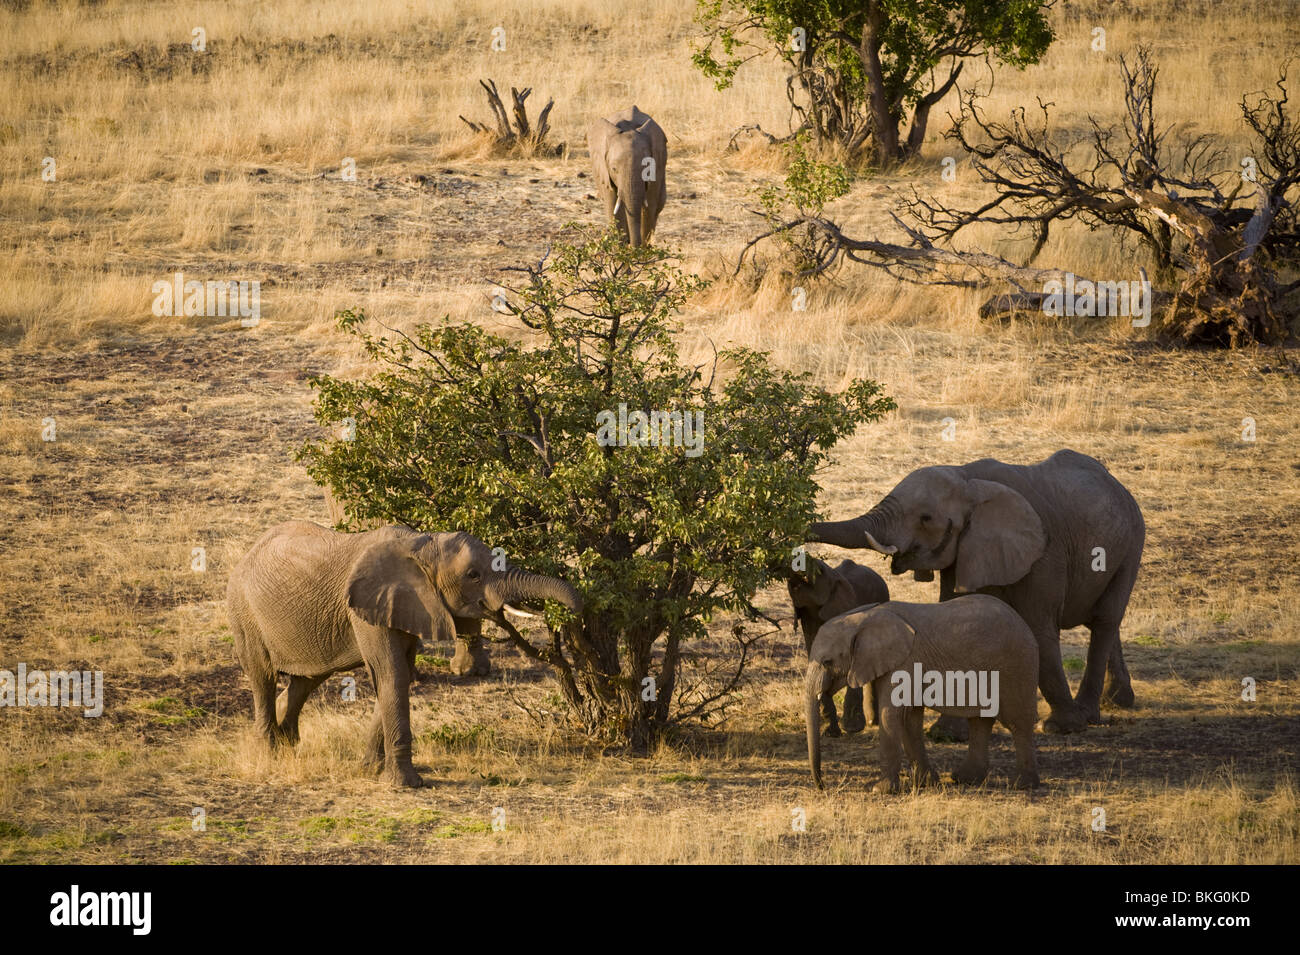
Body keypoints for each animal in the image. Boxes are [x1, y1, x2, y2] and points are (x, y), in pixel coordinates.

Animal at [228, 522, 585, 784]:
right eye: (473, 575)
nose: (576, 613)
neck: (423, 544)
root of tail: (246, 554)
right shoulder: (367, 608)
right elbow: (393, 674)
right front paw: (406, 784)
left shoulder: (408, 606)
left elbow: (398, 674)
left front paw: (370, 769)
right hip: (244, 614)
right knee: (263, 677)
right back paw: (270, 753)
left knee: (306, 679)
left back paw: (288, 744)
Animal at [592, 105, 670, 246]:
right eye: (614, 169)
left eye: (647, 169)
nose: (633, 246)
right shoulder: (603, 171)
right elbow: (612, 207)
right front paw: (621, 248)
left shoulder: (657, 167)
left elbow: (649, 206)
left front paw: (643, 249)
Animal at [785, 556, 889, 738]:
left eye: (819, 570)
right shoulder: (808, 616)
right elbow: (815, 657)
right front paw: (830, 732)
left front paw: (852, 728)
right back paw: (872, 721)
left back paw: (872, 722)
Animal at [806, 452, 1144, 738]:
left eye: (926, 518)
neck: (967, 478)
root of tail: (1118, 484)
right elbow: (954, 624)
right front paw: (947, 734)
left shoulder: (1045, 554)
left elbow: (1040, 630)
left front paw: (1061, 727)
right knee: (1105, 622)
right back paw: (1116, 701)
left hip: (1132, 544)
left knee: (1105, 620)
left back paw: (1088, 714)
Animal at [806, 597, 1040, 789]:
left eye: (828, 662)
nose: (822, 786)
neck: (863, 618)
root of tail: (1024, 623)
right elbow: (909, 718)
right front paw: (926, 784)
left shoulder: (905, 661)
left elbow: (891, 714)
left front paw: (881, 790)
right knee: (980, 721)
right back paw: (964, 779)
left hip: (1017, 666)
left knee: (1018, 722)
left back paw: (1022, 785)